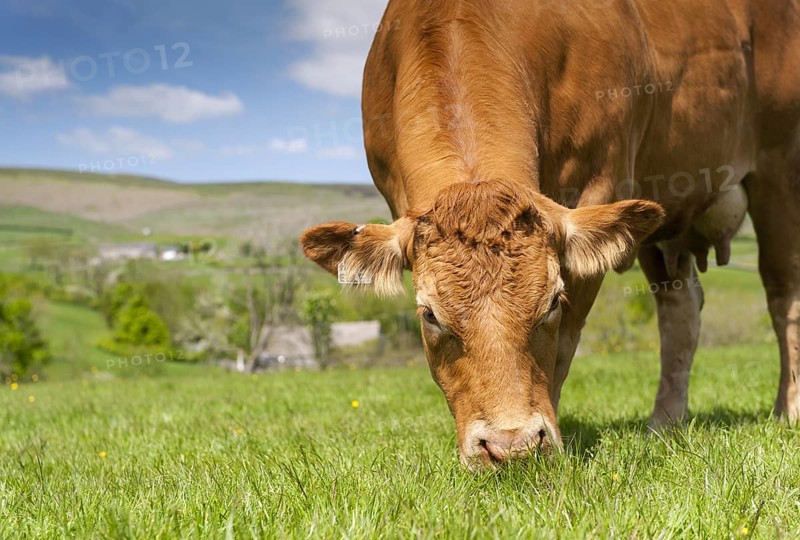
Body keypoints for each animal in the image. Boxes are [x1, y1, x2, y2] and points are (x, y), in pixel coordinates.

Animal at [301, 0, 800, 468]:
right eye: (429, 315)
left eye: (553, 302)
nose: (509, 447)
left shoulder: (598, 188)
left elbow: (563, 348)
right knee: (680, 310)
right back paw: (664, 424)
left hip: (779, 173)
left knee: (783, 295)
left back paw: (787, 413)